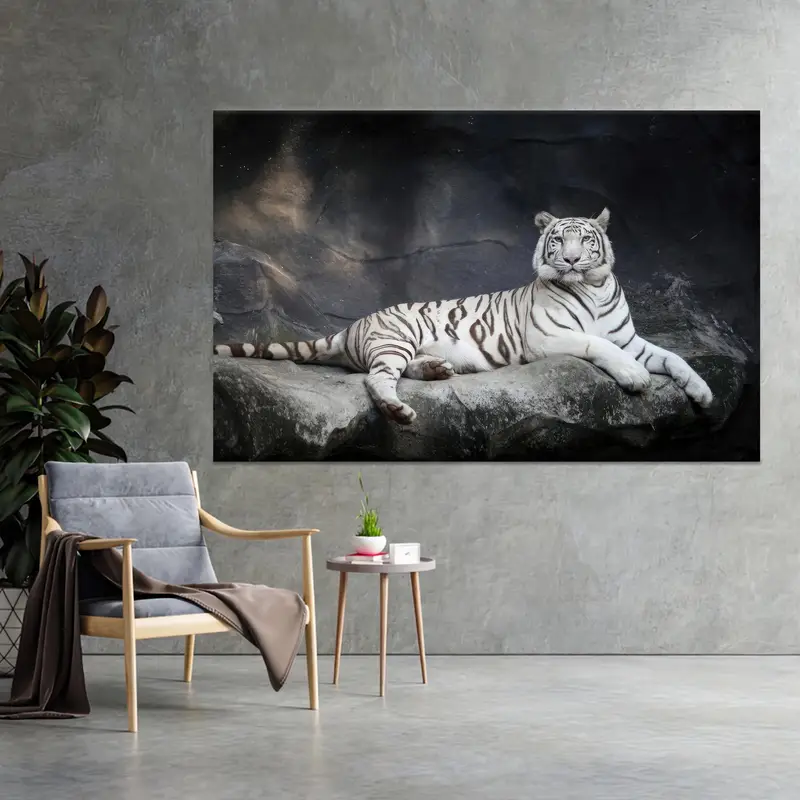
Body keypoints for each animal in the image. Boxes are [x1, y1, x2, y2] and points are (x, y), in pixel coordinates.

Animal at [214, 208, 713, 424]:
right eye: (558, 241)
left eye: (585, 241)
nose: (571, 260)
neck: (590, 286)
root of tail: (351, 326)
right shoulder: (549, 338)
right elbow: (599, 344)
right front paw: (635, 377)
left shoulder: (629, 337)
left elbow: (672, 357)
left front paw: (702, 392)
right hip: (396, 337)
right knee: (375, 379)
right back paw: (399, 409)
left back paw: (438, 369)